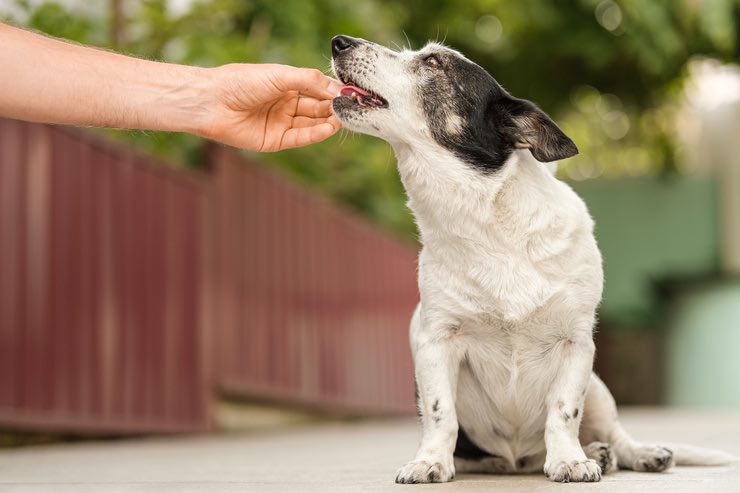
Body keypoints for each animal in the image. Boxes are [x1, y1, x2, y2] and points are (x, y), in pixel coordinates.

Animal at [332, 35, 736, 484]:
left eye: (434, 62)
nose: (339, 42)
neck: (486, 223)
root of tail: (518, 459)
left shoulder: (576, 345)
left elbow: (563, 412)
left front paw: (569, 460)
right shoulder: (437, 342)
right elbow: (440, 415)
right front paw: (430, 461)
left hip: (598, 387)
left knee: (615, 435)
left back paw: (627, 453)